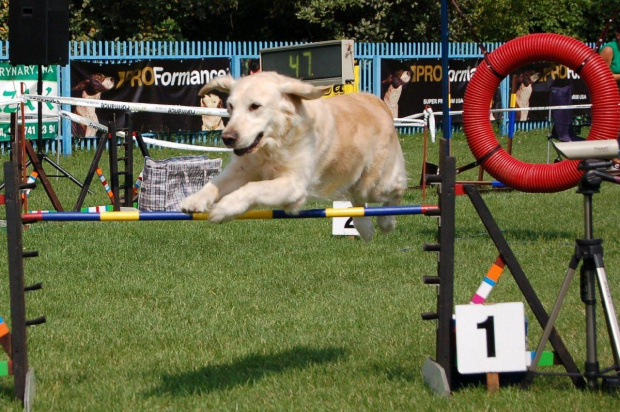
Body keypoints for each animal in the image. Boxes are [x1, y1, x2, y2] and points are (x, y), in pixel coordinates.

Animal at [179, 72, 406, 240]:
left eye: (255, 106)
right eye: (230, 107)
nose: (228, 138)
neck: (273, 144)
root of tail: (379, 103)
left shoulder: (294, 184)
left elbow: (252, 188)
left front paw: (224, 208)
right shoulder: (242, 169)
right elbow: (214, 184)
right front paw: (194, 200)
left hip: (374, 184)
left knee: (396, 190)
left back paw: (386, 222)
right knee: (359, 201)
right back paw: (364, 227)